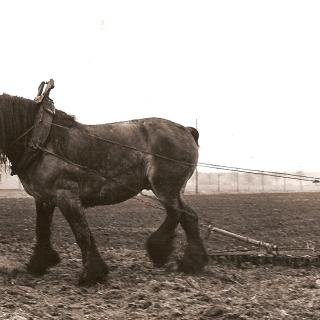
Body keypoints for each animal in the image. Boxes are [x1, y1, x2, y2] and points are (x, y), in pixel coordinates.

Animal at [0, 92, 208, 284]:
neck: (41, 139)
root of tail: (186, 130)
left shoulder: (66, 194)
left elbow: (82, 233)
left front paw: (92, 273)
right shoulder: (44, 198)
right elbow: (42, 229)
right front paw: (39, 263)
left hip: (164, 187)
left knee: (176, 213)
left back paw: (158, 250)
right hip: (176, 190)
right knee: (189, 217)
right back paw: (192, 262)